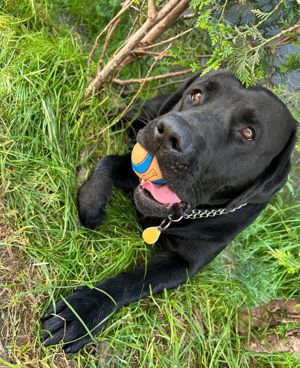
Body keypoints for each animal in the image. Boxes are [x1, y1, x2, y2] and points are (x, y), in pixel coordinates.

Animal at [41, 69, 296, 354]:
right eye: (196, 94)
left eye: (248, 133)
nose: (170, 132)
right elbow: (109, 162)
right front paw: (91, 199)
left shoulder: (184, 265)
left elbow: (134, 280)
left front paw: (82, 311)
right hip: (143, 113)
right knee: (117, 116)